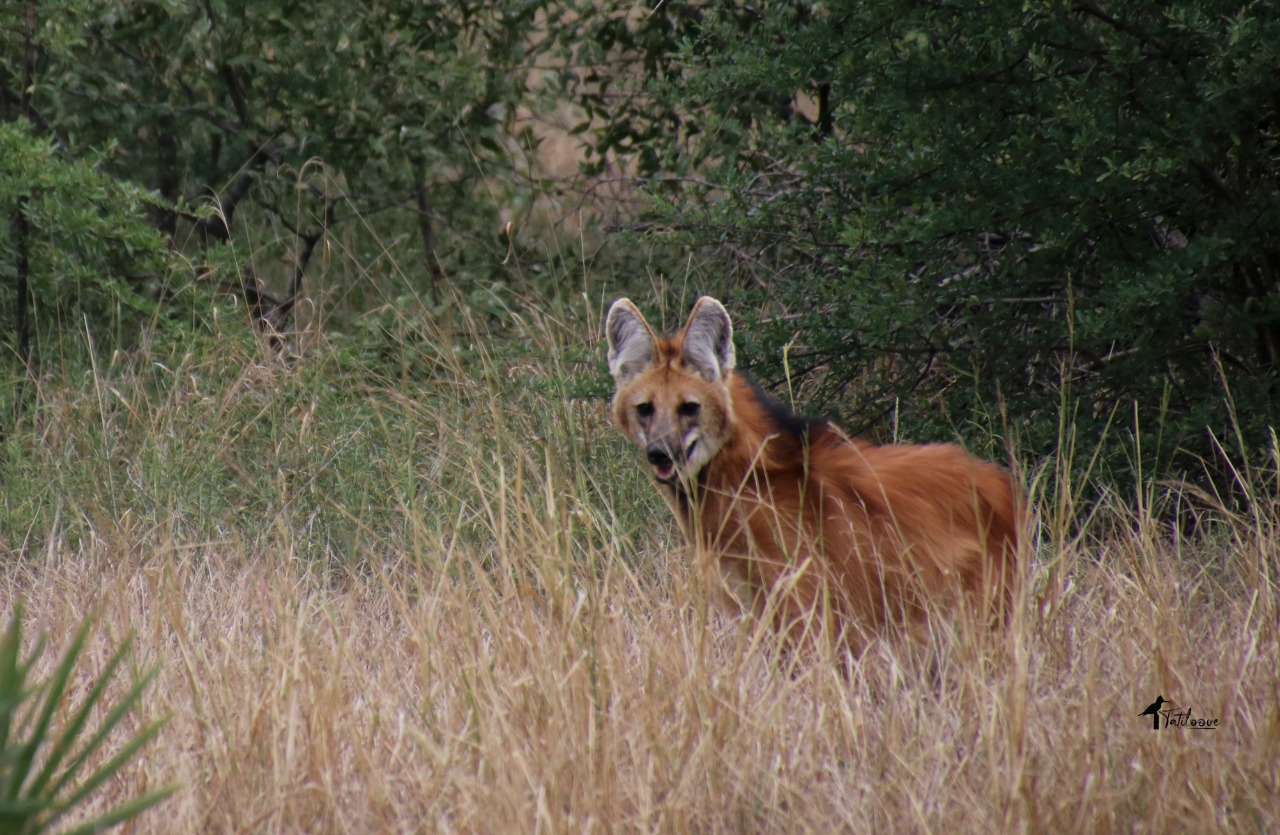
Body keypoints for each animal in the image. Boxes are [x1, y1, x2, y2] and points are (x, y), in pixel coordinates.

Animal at [604, 294, 1024, 653]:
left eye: (689, 408)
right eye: (645, 409)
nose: (660, 453)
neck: (745, 475)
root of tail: (1002, 481)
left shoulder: (803, 602)